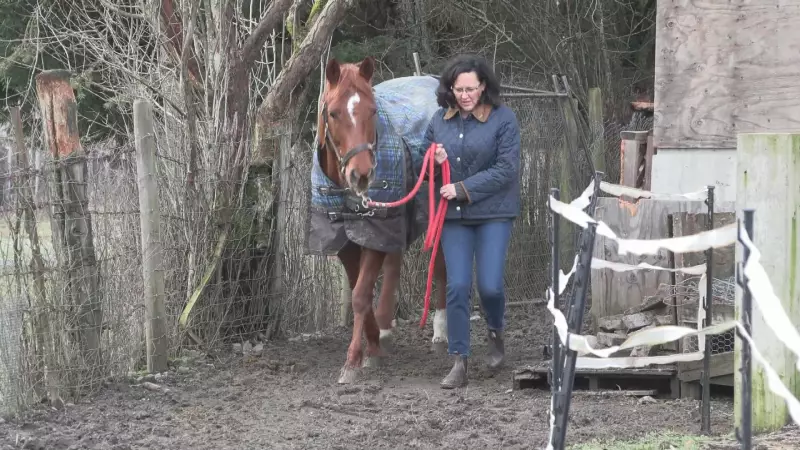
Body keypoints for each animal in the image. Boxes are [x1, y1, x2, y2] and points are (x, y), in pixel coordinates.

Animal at [306, 55, 449, 384]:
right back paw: (385, 328)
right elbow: (360, 289)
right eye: (333, 113)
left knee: (441, 264)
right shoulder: (348, 240)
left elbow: (360, 294)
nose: (362, 174)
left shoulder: (374, 232)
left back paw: (440, 332)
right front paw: (373, 344)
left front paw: (353, 360)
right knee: (394, 262)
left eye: (372, 111)